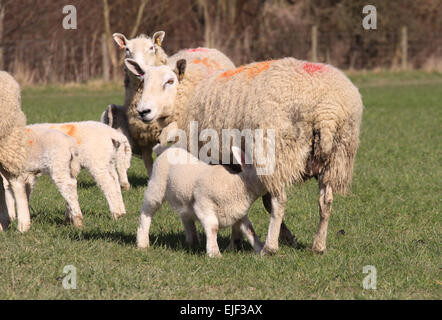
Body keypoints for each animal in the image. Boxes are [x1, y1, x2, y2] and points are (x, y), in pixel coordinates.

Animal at [136, 145, 264, 258]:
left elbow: (250, 230)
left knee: (185, 216)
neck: (235, 186)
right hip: (156, 186)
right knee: (146, 212)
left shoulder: (239, 214)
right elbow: (213, 227)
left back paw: (193, 241)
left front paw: (262, 250)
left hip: (183, 198)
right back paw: (142, 243)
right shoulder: (203, 205)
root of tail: (168, 150)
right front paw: (214, 253)